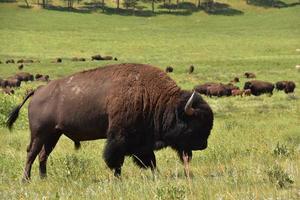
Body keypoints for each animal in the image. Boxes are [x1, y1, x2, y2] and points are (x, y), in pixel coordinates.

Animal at [7, 63, 213, 181]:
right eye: (196, 123)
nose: (203, 145)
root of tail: (37, 91)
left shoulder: (141, 143)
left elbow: (150, 161)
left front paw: (156, 176)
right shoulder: (119, 137)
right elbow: (116, 159)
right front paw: (118, 178)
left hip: (54, 134)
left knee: (43, 155)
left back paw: (44, 178)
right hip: (39, 133)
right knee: (32, 153)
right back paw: (26, 179)